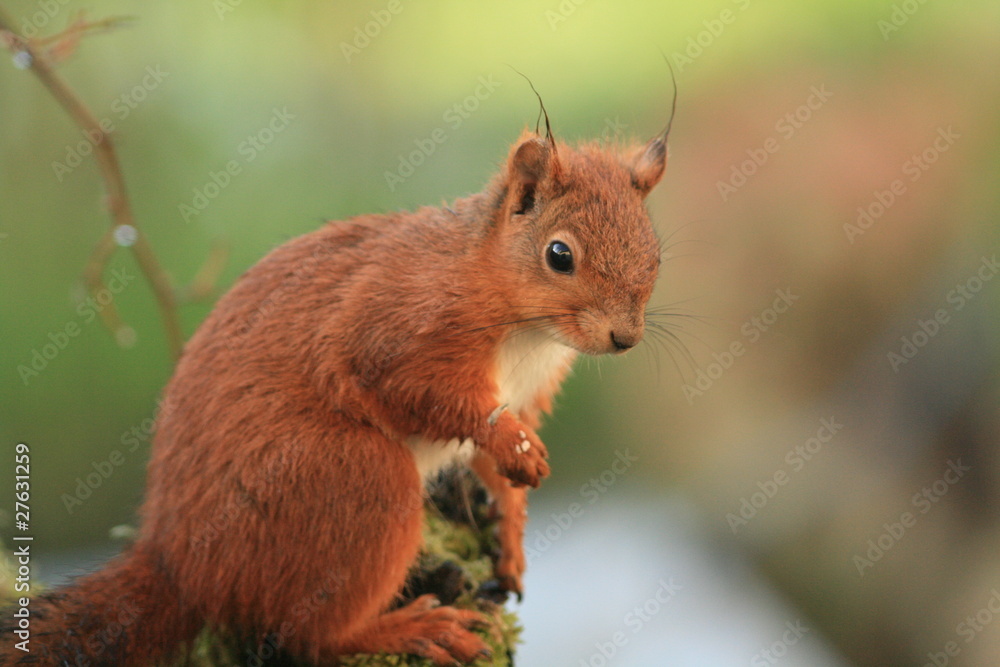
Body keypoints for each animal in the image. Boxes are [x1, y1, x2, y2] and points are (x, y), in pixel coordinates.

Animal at [3, 102, 669, 665]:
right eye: (559, 255)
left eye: (656, 253)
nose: (625, 338)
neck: (525, 329)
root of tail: (182, 564)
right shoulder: (399, 327)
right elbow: (424, 392)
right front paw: (513, 447)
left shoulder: (527, 390)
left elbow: (496, 464)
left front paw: (511, 529)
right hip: (351, 479)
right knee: (306, 636)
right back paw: (408, 629)